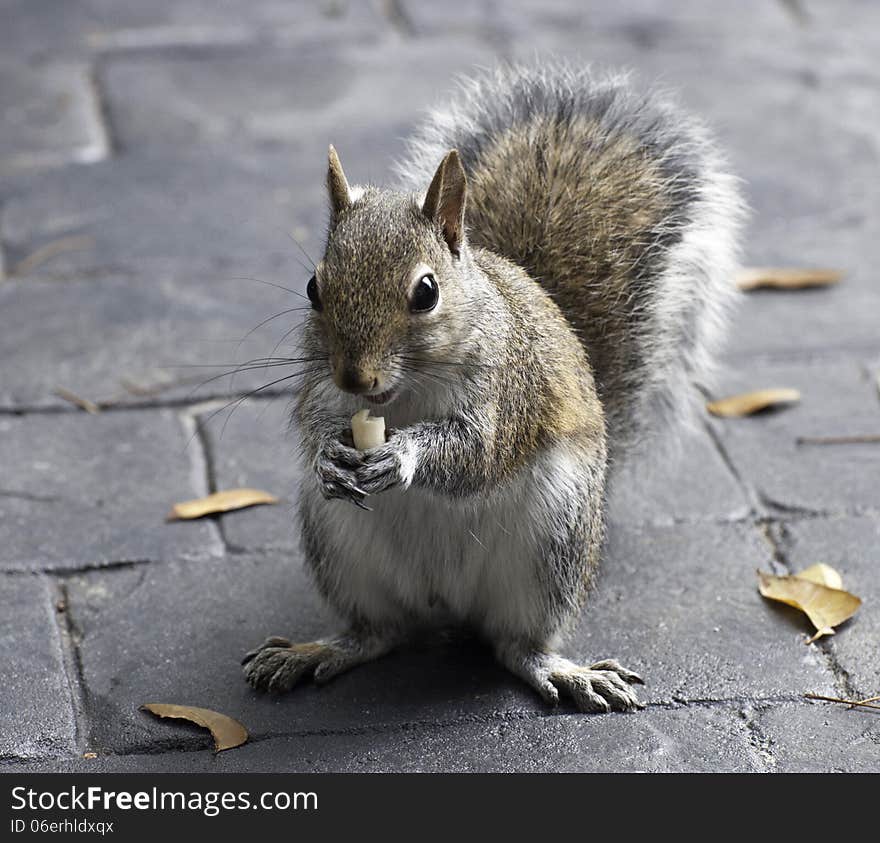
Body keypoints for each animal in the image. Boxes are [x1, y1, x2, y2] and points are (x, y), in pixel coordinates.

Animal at [241, 64, 744, 712]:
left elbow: (477, 453)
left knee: (514, 644)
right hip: (338, 545)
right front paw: (331, 456)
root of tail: (444, 606)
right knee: (377, 633)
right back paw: (316, 650)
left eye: (426, 292)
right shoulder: (319, 385)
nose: (356, 376)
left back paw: (561, 670)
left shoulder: (509, 390)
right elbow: (312, 428)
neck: (406, 394)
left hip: (553, 543)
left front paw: (403, 456)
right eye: (312, 288)